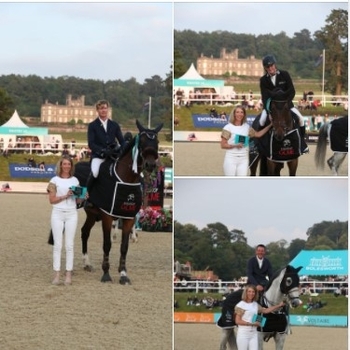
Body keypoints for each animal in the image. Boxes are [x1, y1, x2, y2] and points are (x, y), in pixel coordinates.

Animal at [75, 120, 163, 284]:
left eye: (157, 141)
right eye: (142, 141)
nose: (150, 165)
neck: (127, 179)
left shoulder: (128, 217)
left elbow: (124, 246)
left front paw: (123, 274)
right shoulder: (107, 216)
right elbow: (107, 244)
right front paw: (106, 274)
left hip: (92, 215)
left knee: (85, 232)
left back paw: (87, 264)